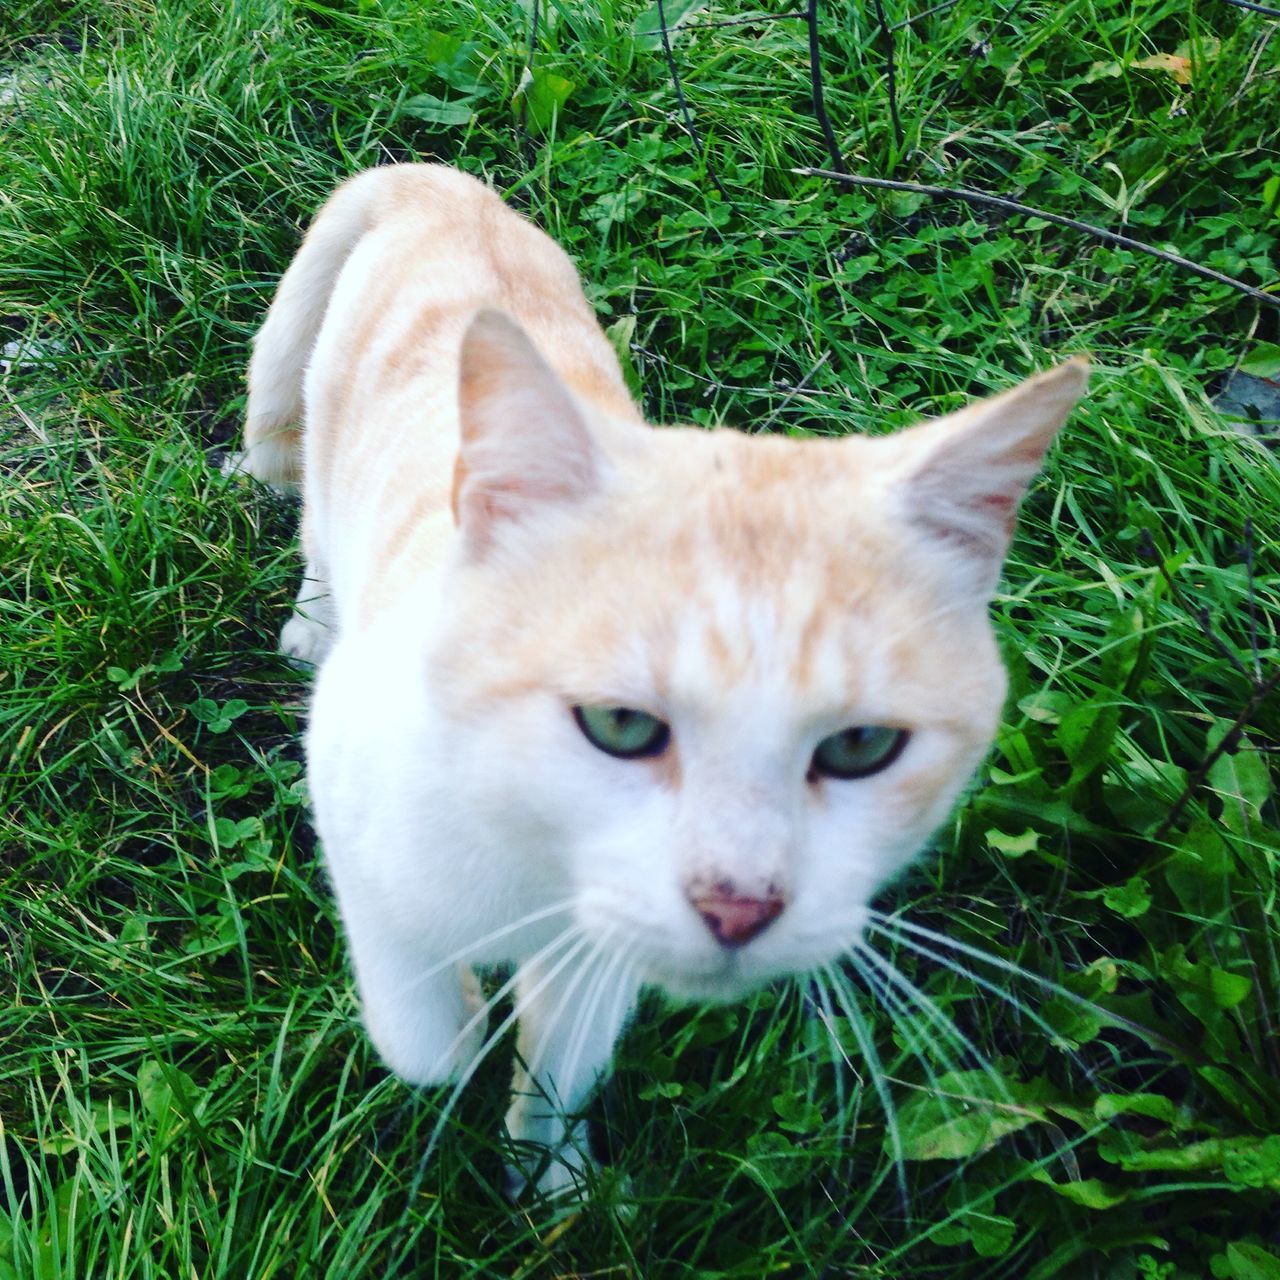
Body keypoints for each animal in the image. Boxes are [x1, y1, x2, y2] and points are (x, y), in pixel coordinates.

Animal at [238, 162, 1080, 1198]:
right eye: (619, 725)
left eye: (861, 747)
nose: (740, 905)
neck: (535, 861)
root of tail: (446, 186)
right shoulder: (349, 794)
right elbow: (424, 1033)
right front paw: (463, 1029)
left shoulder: (600, 959)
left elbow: (563, 1062)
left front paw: (551, 1172)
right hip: (324, 431)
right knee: (316, 526)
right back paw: (312, 620)